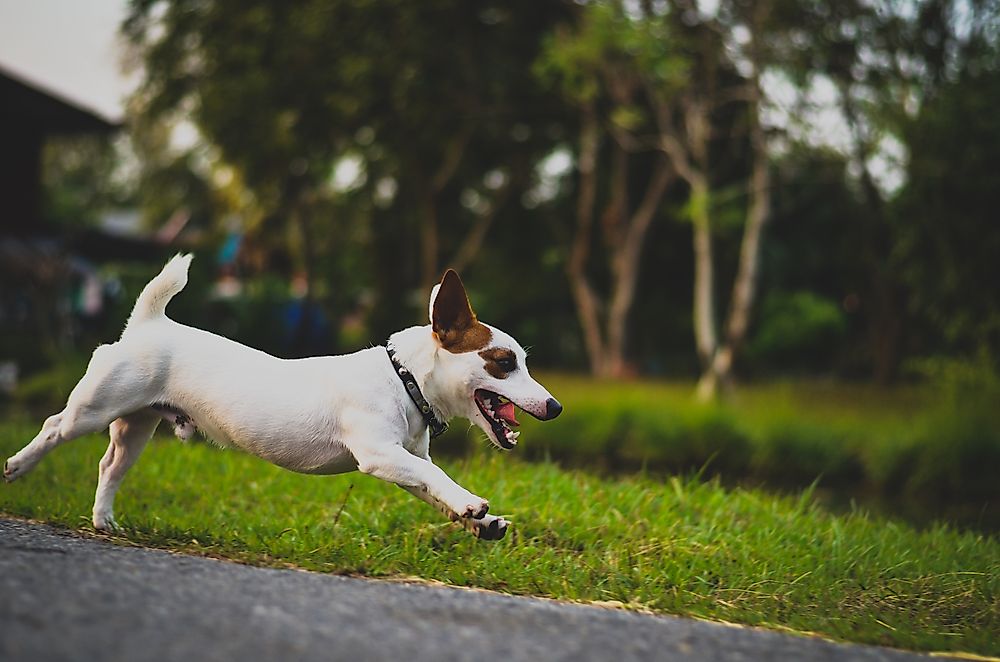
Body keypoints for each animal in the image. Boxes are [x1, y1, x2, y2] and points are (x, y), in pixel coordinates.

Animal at [3, 256, 564, 544]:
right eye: (503, 362)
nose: (556, 408)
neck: (402, 378)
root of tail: (148, 323)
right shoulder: (380, 455)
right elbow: (437, 477)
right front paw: (471, 504)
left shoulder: (403, 461)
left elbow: (431, 483)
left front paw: (480, 522)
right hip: (97, 407)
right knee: (54, 427)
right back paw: (17, 467)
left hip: (138, 426)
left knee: (110, 467)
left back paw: (104, 520)